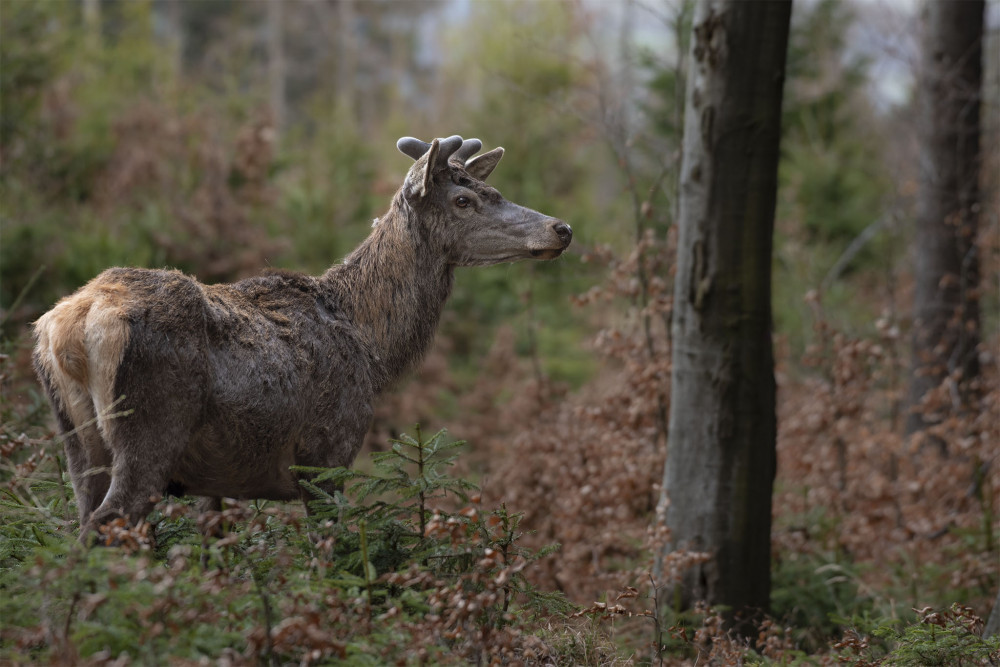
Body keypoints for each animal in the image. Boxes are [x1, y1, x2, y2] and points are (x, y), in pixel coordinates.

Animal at [33, 136, 572, 544]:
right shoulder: (327, 453)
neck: (375, 351)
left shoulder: (213, 483)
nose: (561, 228)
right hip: (152, 423)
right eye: (464, 200)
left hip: (76, 439)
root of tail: (71, 325)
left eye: (492, 187)